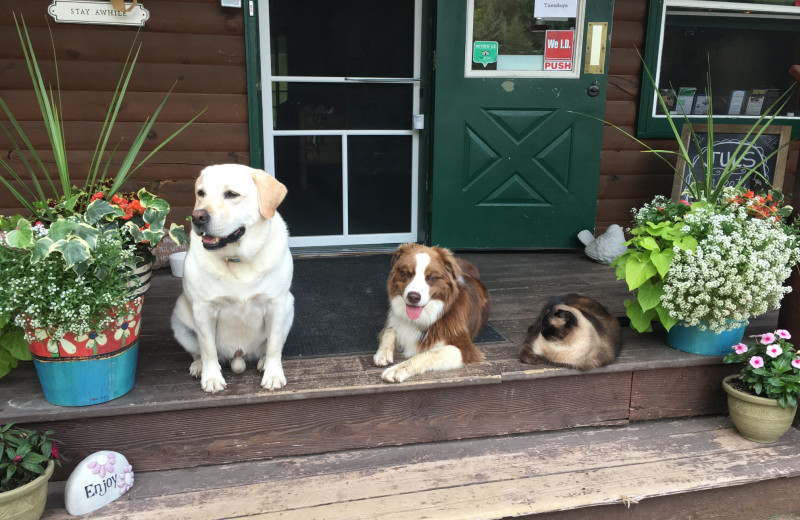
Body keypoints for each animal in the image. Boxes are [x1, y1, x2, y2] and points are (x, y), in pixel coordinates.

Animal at [171, 165, 294, 392]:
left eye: (231, 194)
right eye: (201, 193)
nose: (197, 216)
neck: (237, 259)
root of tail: (239, 356)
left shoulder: (277, 304)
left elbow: (273, 346)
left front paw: (273, 374)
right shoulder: (203, 309)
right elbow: (208, 348)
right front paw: (211, 378)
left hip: (290, 309)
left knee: (269, 347)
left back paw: (264, 362)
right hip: (180, 322)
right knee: (198, 351)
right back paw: (199, 366)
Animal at [374, 243, 488, 382]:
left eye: (431, 277)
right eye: (406, 273)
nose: (413, 297)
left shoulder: (465, 349)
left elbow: (427, 354)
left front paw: (397, 369)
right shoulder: (393, 319)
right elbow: (389, 331)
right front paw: (382, 353)